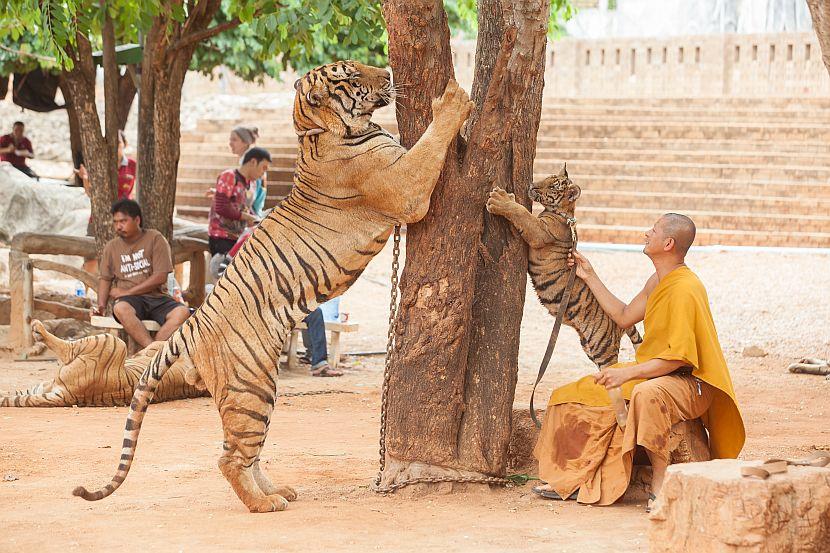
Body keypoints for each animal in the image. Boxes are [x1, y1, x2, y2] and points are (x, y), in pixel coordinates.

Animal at [75, 61, 478, 512]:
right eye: (352, 75)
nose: (388, 72)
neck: (315, 130)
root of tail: (193, 324)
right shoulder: (406, 187)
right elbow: (429, 144)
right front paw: (452, 101)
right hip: (250, 388)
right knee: (230, 458)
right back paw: (263, 504)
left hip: (257, 388)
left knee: (241, 451)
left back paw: (276, 492)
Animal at [488, 164, 644, 366]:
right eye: (547, 177)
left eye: (553, 187)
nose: (532, 185)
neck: (564, 213)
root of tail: (622, 323)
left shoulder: (539, 231)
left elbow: (522, 213)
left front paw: (500, 199)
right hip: (590, 348)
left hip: (603, 349)